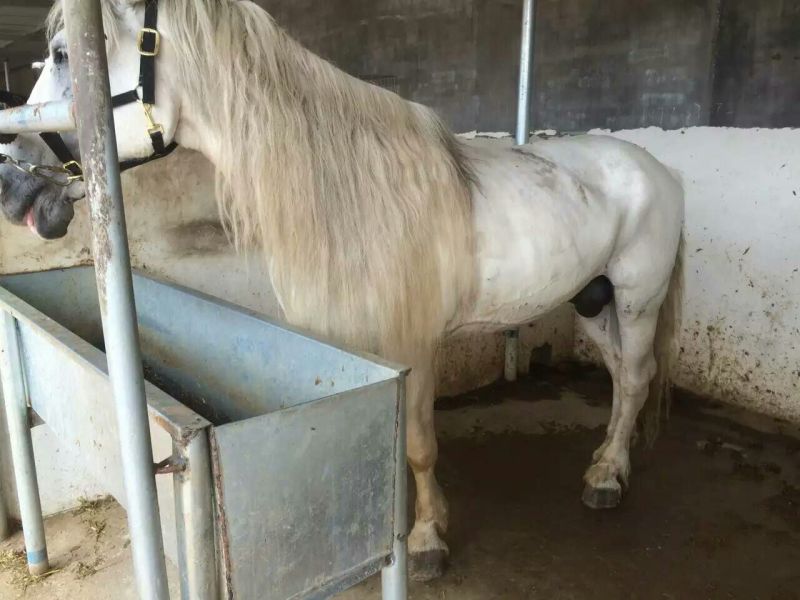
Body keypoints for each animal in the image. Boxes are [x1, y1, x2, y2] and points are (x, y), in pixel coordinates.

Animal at [0, 0, 684, 581]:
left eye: (62, 53)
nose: (13, 185)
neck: (354, 193)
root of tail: (659, 169)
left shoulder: (415, 346)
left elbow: (418, 446)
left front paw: (427, 540)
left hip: (637, 299)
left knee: (636, 377)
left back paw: (606, 479)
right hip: (592, 300)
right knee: (623, 375)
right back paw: (609, 462)